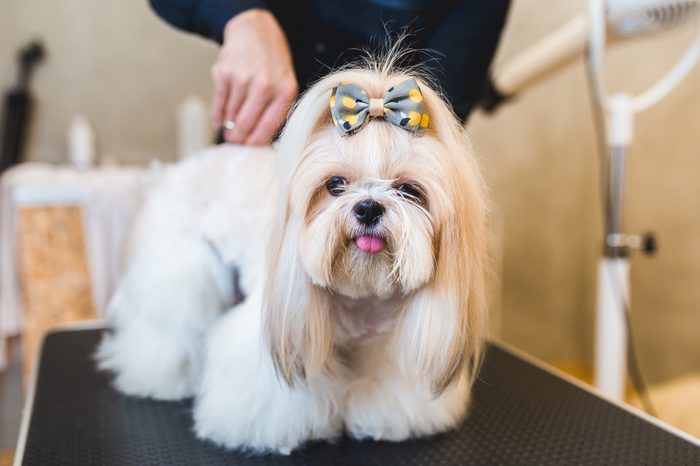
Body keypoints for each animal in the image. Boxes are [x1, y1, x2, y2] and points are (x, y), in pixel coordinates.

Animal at [97, 55, 486, 456]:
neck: (358, 298)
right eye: (335, 184)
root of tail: (172, 171)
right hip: (183, 268)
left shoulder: (386, 342)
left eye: (409, 189)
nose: (368, 208)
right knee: (168, 329)